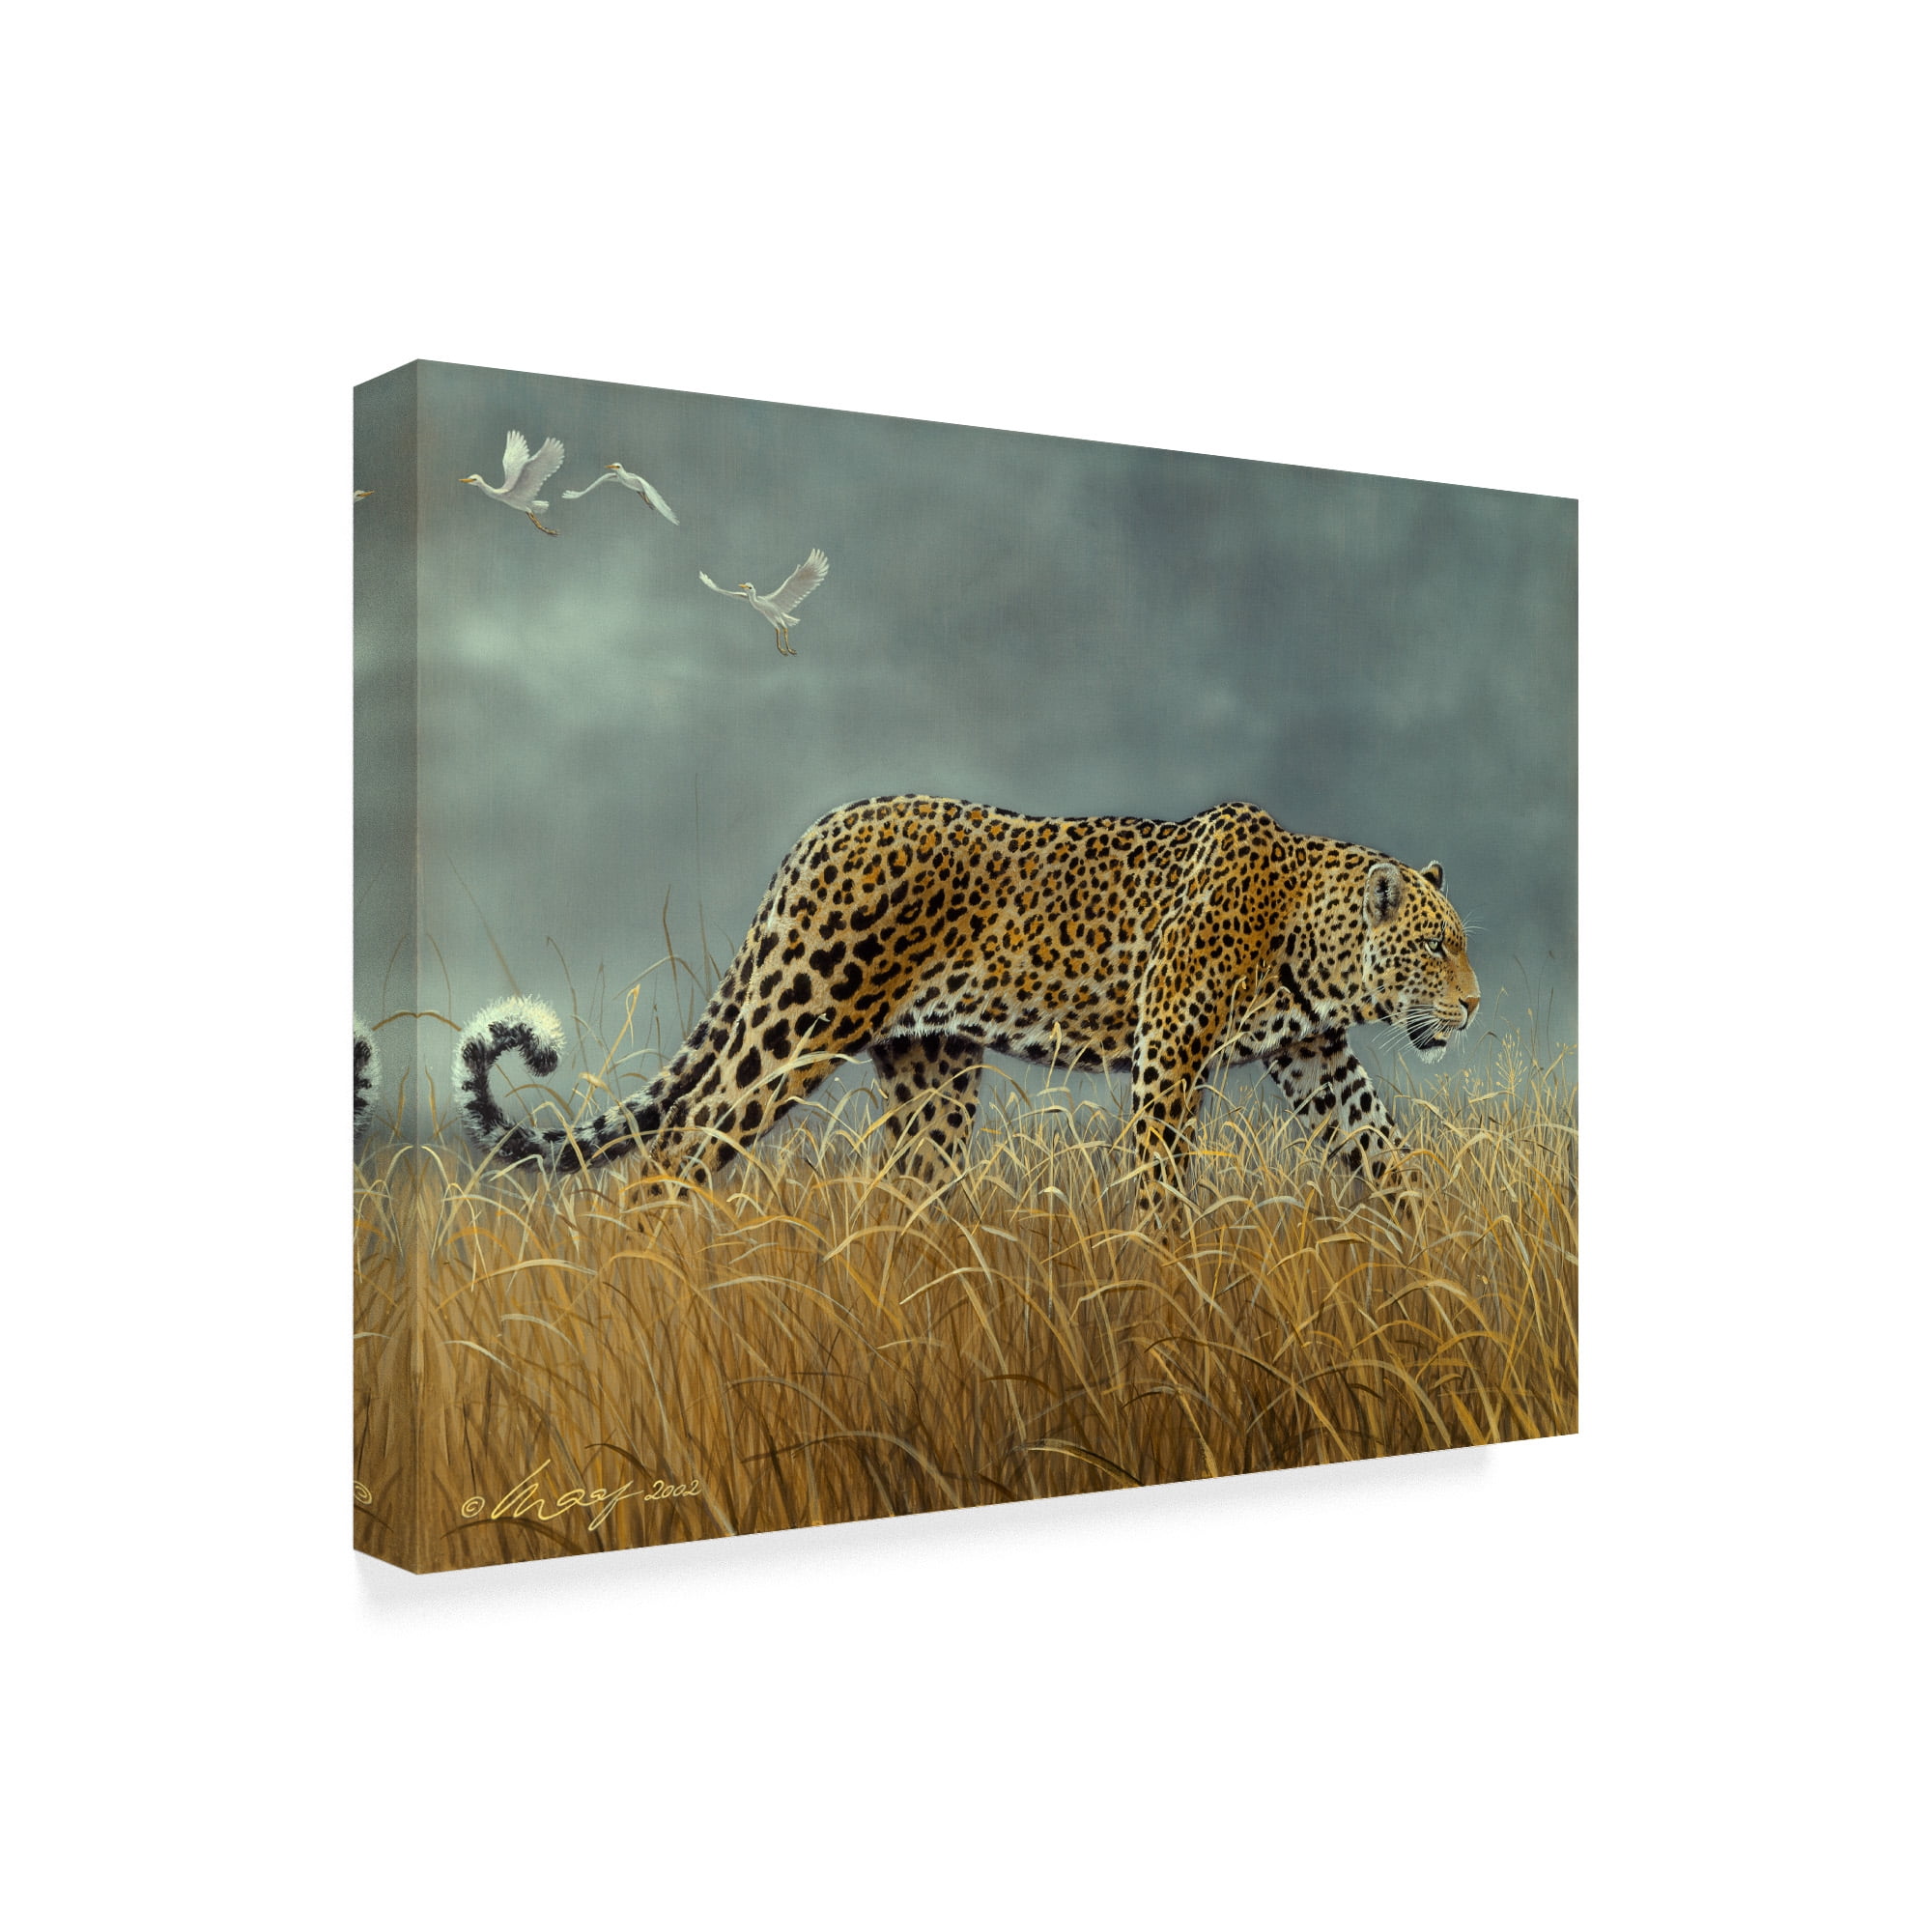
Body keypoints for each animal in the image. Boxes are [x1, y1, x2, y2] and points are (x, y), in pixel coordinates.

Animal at [452, 795, 1480, 1219]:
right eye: (1437, 946)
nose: (1473, 1008)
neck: (1312, 939)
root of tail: (817, 833)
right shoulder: (1170, 1061)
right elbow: (1161, 1185)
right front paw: (1172, 1285)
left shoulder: (1316, 1057)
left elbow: (1385, 1151)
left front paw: (1440, 1254)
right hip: (795, 1026)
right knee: (677, 1148)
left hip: (932, 1071)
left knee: (909, 1189)